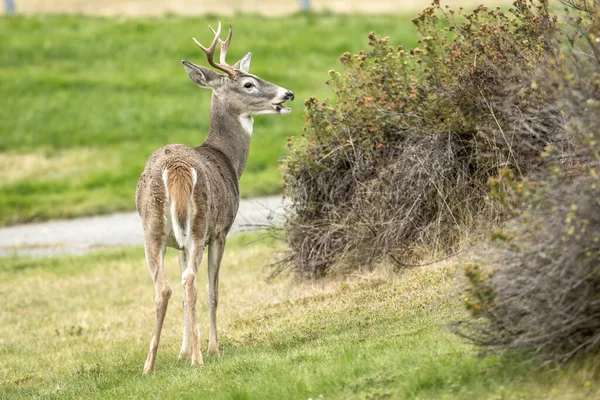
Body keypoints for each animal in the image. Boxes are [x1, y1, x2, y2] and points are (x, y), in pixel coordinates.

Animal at [137, 21, 296, 374]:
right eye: (249, 83)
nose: (288, 94)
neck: (227, 158)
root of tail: (175, 167)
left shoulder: (178, 243)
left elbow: (185, 295)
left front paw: (182, 353)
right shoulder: (222, 231)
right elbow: (214, 291)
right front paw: (211, 348)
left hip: (153, 228)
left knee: (166, 287)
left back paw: (150, 365)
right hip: (199, 224)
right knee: (193, 283)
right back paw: (200, 356)